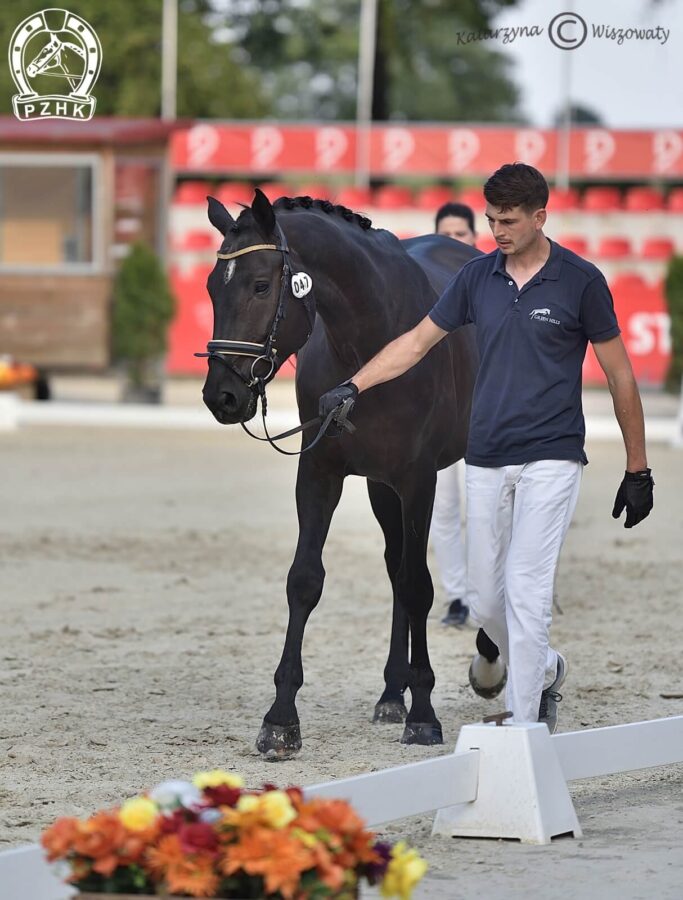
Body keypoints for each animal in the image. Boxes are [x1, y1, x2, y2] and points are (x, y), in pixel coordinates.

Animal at [202, 192, 496, 760]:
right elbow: (305, 580)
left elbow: (419, 585)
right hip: (381, 487)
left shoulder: (419, 479)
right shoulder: (321, 472)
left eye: (261, 285)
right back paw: (391, 694)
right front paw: (280, 720)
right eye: (209, 287)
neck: (372, 348)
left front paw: (424, 716)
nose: (220, 395)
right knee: (394, 566)